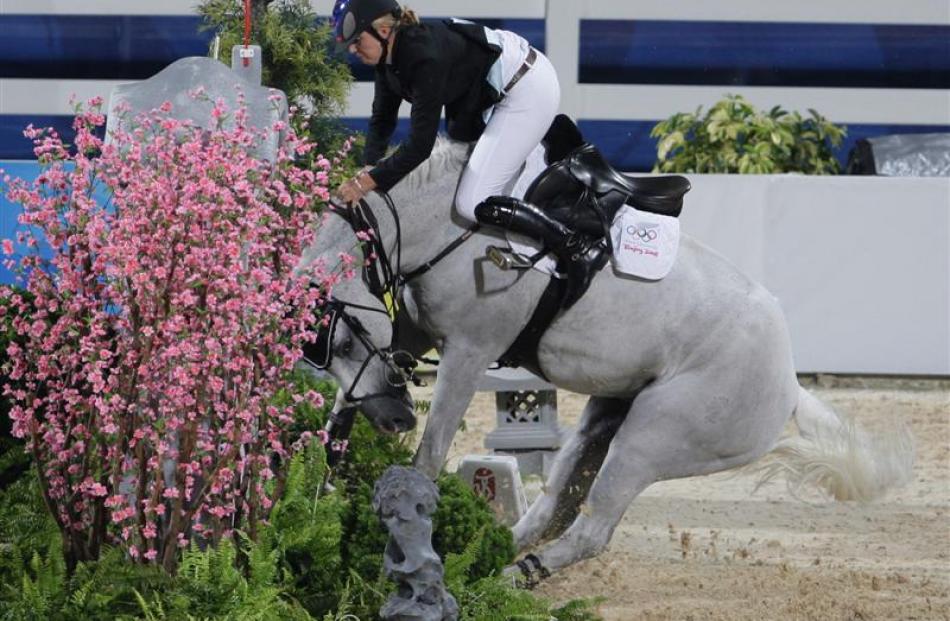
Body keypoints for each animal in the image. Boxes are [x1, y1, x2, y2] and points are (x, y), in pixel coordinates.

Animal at [298, 138, 916, 572]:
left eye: (345, 339)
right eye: (324, 350)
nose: (395, 417)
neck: (451, 223)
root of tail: (787, 385)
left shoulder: (469, 352)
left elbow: (428, 454)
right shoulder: (410, 334)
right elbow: (344, 411)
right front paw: (317, 487)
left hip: (648, 441)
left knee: (591, 531)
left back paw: (512, 576)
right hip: (606, 415)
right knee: (556, 505)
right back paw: (491, 559)